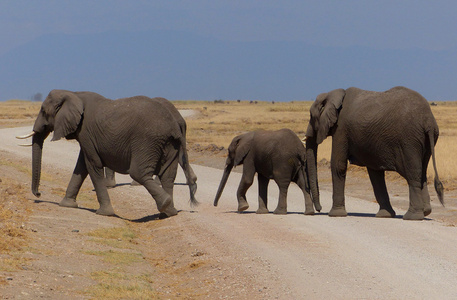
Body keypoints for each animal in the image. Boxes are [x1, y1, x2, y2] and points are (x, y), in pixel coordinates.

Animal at [18, 89, 197, 218]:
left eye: (43, 111)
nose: (38, 194)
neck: (73, 93)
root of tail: (174, 125)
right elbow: (81, 166)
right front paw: (67, 204)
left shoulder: (86, 131)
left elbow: (92, 165)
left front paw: (105, 213)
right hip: (169, 144)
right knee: (168, 175)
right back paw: (168, 213)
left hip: (147, 142)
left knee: (138, 173)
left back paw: (165, 204)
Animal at [304, 86, 444, 220]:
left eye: (311, 116)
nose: (319, 209)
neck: (334, 95)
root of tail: (428, 120)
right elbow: (375, 172)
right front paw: (385, 215)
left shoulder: (341, 129)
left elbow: (338, 165)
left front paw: (335, 215)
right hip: (425, 141)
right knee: (422, 173)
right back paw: (425, 212)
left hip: (409, 140)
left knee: (413, 174)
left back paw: (412, 217)